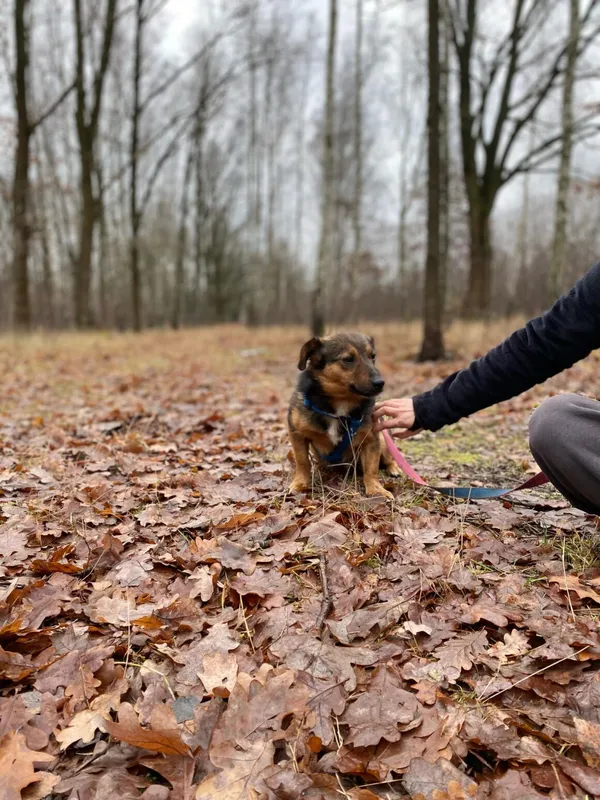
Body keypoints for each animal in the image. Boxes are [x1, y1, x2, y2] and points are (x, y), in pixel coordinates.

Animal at [288, 330, 400, 494]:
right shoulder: (297, 434)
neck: (342, 403)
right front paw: (300, 484)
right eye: (348, 359)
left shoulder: (371, 438)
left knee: (389, 458)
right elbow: (302, 462)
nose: (380, 383)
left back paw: (395, 468)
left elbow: (371, 468)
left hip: (384, 441)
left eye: (372, 356)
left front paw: (376, 489)